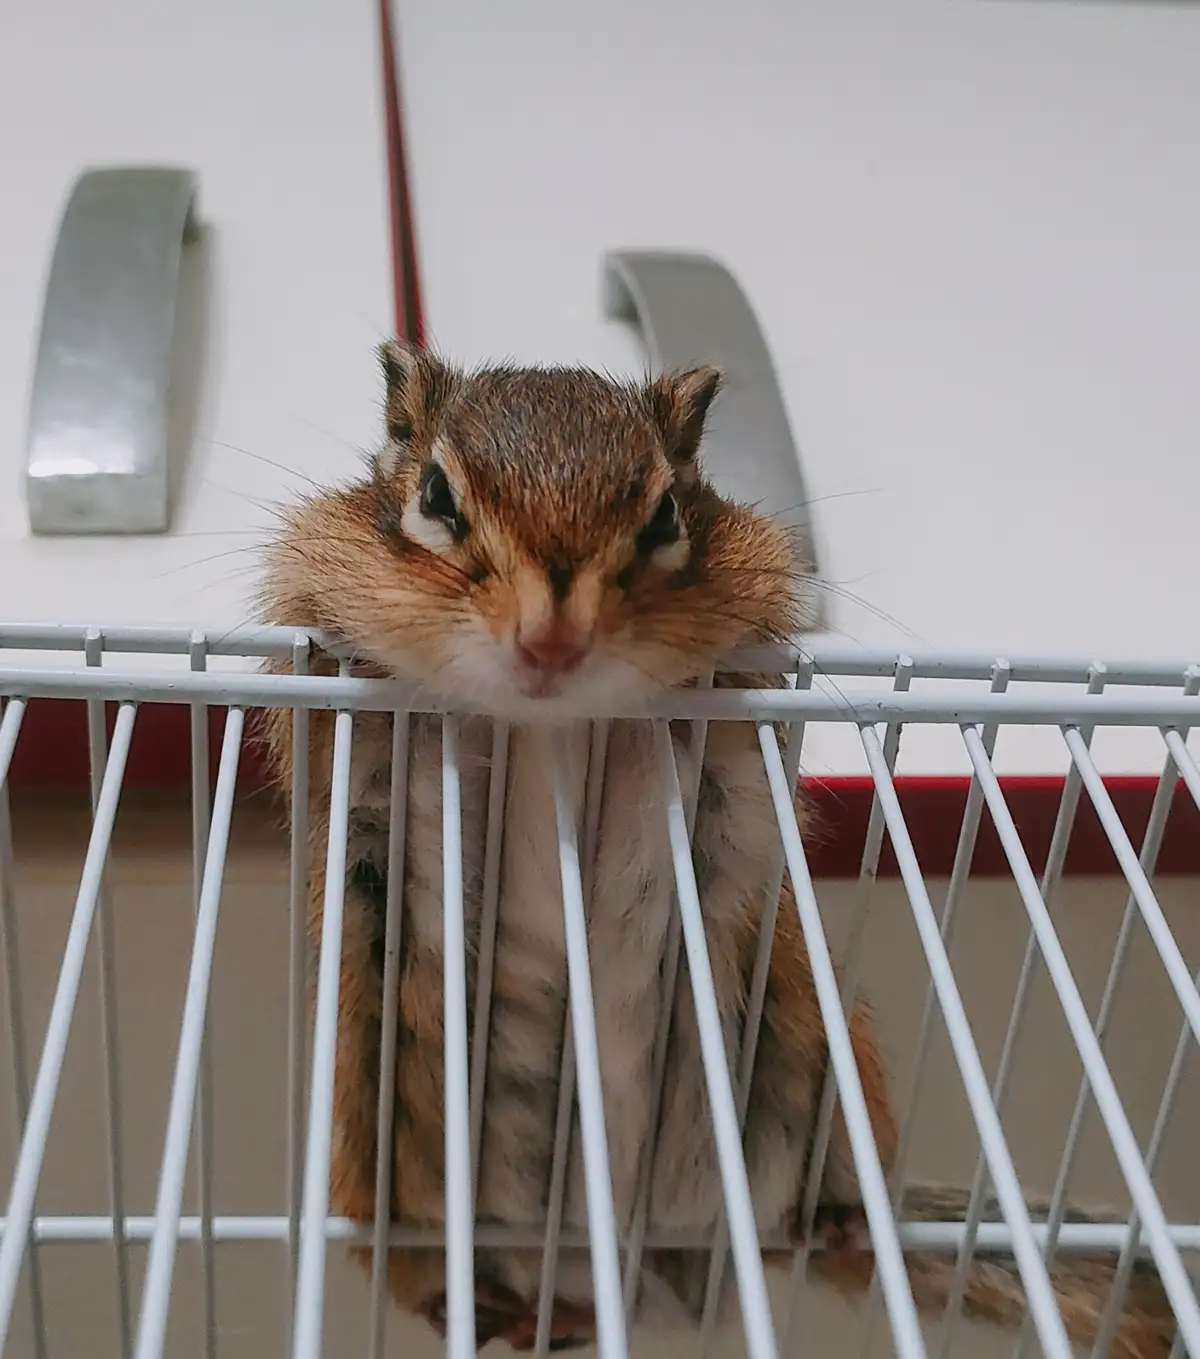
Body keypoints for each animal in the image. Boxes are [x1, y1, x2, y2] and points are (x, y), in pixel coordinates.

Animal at [259, 339, 1179, 1357]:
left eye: (666, 513)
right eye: (435, 495)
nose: (551, 641)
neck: (552, 724)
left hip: (814, 1061)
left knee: (789, 1227)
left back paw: (832, 1220)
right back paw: (507, 1312)